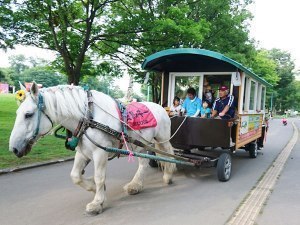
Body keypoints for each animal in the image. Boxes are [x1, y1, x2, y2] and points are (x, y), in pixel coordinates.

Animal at [8, 82, 176, 214]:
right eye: (17, 113)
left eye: (28, 114)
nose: (13, 149)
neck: (88, 117)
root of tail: (161, 107)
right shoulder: (82, 153)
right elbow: (75, 176)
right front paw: (94, 188)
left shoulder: (100, 152)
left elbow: (99, 176)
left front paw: (97, 202)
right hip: (140, 144)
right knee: (144, 163)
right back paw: (135, 185)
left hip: (162, 139)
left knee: (168, 154)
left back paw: (168, 175)